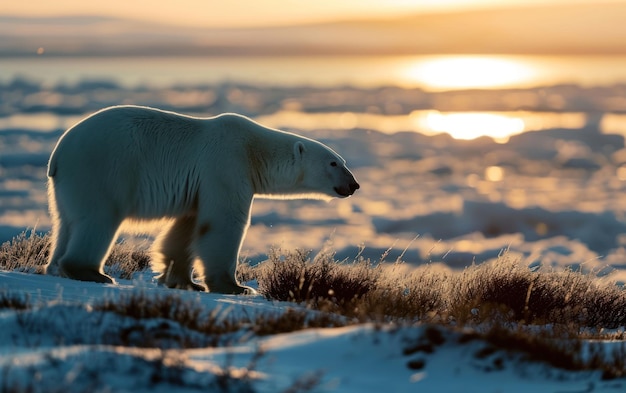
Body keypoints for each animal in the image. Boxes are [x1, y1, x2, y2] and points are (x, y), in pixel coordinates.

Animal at [44, 105, 358, 292]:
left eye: (342, 161)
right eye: (333, 163)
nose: (353, 184)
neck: (254, 151)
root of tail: (58, 153)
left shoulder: (198, 185)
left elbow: (185, 227)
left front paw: (181, 280)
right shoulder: (227, 165)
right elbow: (224, 222)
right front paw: (236, 287)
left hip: (68, 184)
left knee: (66, 222)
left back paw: (54, 266)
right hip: (103, 169)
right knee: (99, 219)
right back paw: (90, 272)